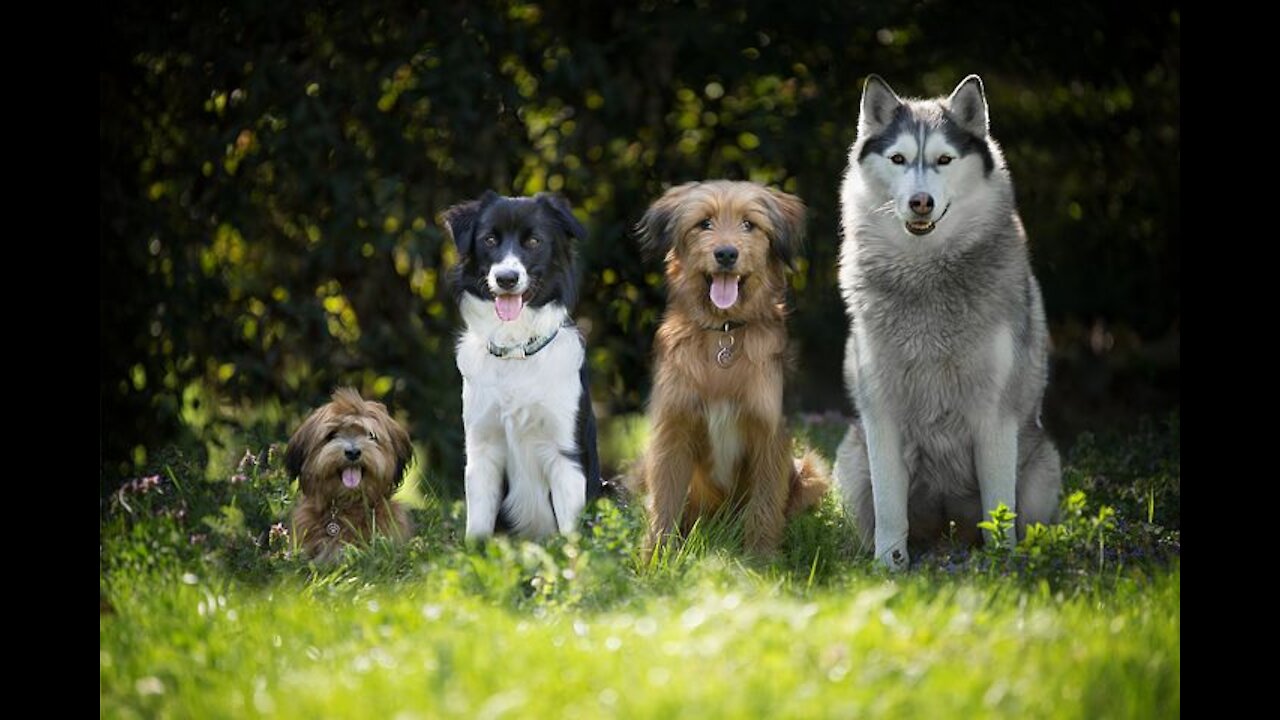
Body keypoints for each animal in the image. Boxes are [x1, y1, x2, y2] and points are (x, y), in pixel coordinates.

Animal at [442, 190, 601, 538]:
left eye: (533, 241)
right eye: (489, 239)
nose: (506, 278)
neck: (515, 350)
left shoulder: (565, 453)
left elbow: (571, 534)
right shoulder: (482, 449)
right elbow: (478, 528)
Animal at [634, 179, 834, 556]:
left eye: (748, 225)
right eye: (704, 223)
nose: (726, 254)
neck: (723, 334)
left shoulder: (770, 433)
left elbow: (765, 505)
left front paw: (761, 559)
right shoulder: (673, 430)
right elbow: (664, 503)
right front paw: (655, 557)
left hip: (811, 470)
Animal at [829, 71, 1059, 566]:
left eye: (944, 160)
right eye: (898, 159)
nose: (921, 202)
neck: (925, 276)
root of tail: (947, 533)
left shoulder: (994, 414)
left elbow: (999, 507)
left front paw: (1002, 566)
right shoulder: (881, 414)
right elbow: (890, 508)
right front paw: (888, 566)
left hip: (1043, 466)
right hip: (852, 458)